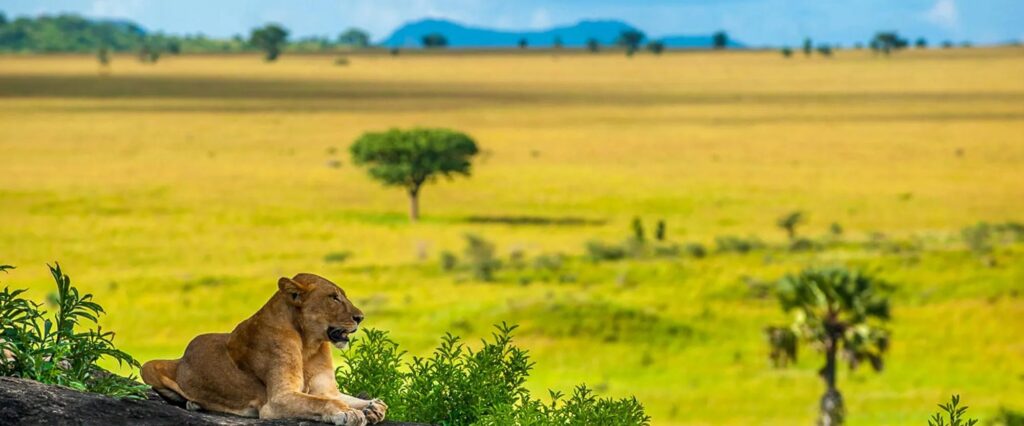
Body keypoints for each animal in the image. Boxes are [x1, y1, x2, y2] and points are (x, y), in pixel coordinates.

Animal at [141, 273, 387, 426]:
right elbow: (322, 402)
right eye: (333, 297)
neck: (310, 343)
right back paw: (193, 403)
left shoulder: (326, 389)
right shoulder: (277, 401)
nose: (360, 317)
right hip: (147, 366)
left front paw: (372, 407)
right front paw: (347, 412)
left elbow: (342, 397)